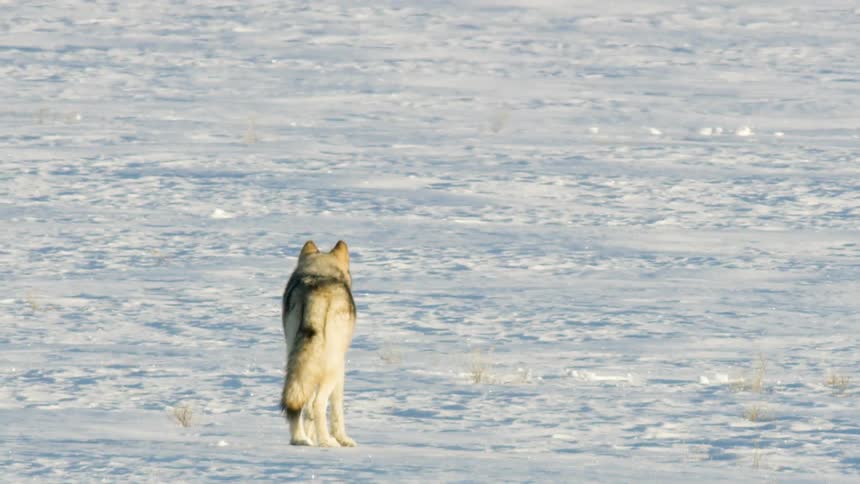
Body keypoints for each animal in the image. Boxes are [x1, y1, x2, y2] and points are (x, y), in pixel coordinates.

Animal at [280, 240, 357, 447]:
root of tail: (315, 289)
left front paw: (310, 436)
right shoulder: (340, 368)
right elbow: (337, 408)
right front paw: (343, 440)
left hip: (294, 361)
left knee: (298, 404)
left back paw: (299, 439)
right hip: (331, 367)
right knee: (318, 404)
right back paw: (327, 442)